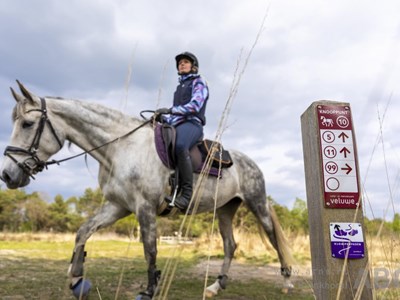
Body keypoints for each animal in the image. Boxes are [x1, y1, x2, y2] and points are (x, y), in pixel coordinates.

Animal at [0, 81, 294, 298]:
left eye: (27, 124)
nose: (7, 175)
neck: (120, 147)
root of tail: (250, 162)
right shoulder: (118, 206)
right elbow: (83, 232)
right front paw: (76, 277)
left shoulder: (145, 207)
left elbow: (150, 249)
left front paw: (149, 290)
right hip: (224, 210)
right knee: (230, 245)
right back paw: (215, 286)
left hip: (257, 204)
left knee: (272, 238)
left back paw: (287, 281)